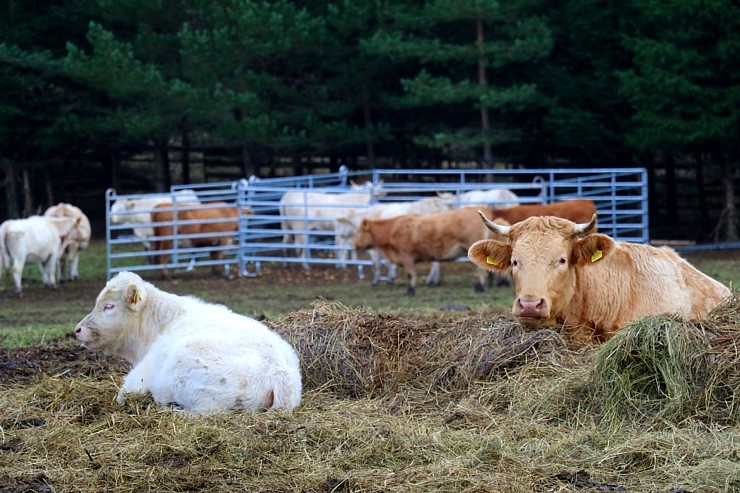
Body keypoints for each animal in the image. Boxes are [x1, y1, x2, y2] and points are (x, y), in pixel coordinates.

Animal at [350, 205, 506, 294]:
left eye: (359, 233)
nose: (353, 244)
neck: (393, 228)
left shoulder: (406, 256)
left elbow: (410, 274)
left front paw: (411, 290)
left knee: (480, 270)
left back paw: (480, 287)